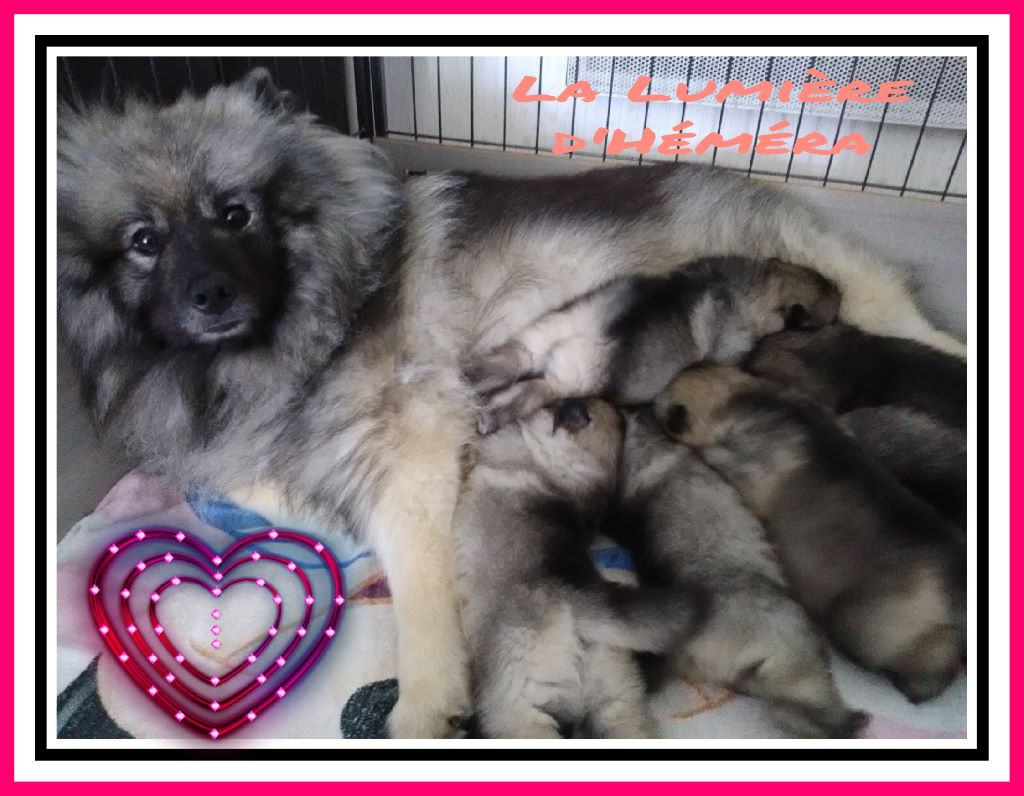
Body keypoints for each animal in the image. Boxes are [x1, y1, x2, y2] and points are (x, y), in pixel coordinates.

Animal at [464, 255, 839, 432]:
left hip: (544, 335)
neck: (760, 291)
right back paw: (489, 419)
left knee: (513, 362)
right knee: (534, 391)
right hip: (568, 379)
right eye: (827, 318)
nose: (840, 291)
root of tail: (598, 331)